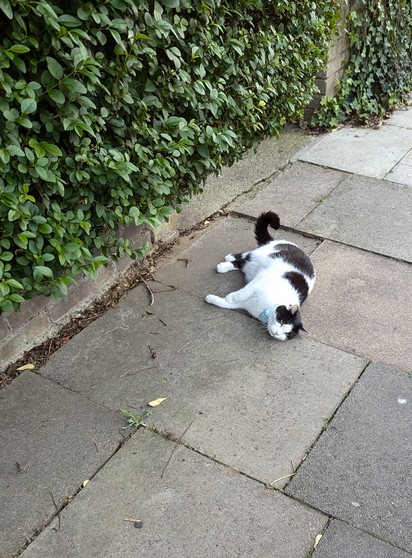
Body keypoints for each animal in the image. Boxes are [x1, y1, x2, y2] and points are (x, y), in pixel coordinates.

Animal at [205, 210, 316, 342]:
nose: (277, 333)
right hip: (261, 255)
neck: (265, 308)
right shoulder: (260, 281)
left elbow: (224, 304)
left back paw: (228, 260)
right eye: (281, 321)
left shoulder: (245, 304)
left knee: (243, 262)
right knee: (246, 256)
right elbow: (242, 293)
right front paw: (230, 297)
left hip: (251, 266)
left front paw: (211, 298)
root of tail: (274, 241)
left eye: (287, 334)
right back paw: (225, 262)